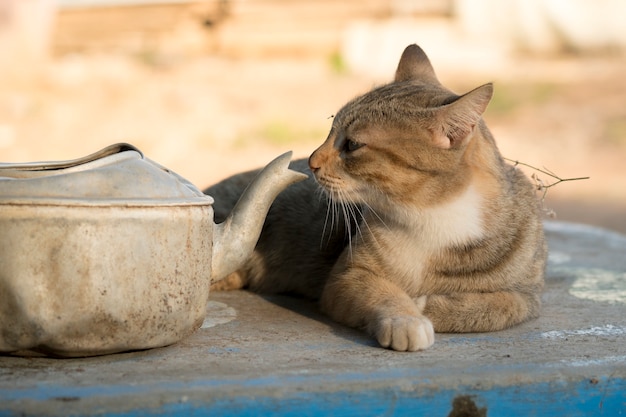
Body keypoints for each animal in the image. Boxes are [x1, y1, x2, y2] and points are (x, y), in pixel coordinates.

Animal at [202, 44, 544, 350]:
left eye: (352, 145)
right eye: (330, 132)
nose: (311, 161)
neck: (432, 215)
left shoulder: (527, 296)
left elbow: (496, 307)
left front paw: (426, 305)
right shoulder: (349, 277)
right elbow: (386, 294)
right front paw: (407, 318)